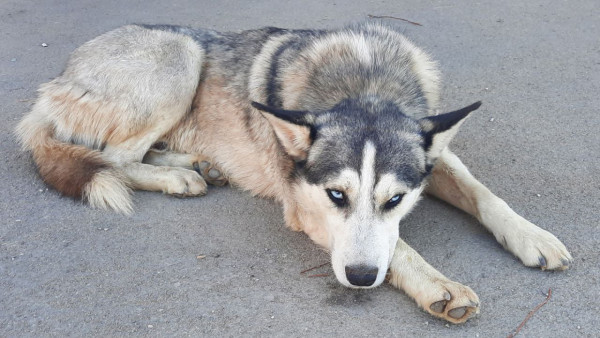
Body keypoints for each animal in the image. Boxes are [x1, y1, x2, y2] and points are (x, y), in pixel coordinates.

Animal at [15, 22, 572, 324]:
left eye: (394, 200)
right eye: (336, 196)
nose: (361, 279)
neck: (365, 83)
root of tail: (56, 80)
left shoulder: (434, 155)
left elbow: (484, 194)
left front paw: (532, 236)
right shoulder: (305, 205)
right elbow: (399, 248)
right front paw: (437, 284)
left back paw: (195, 164)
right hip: (180, 58)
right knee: (111, 156)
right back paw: (179, 176)